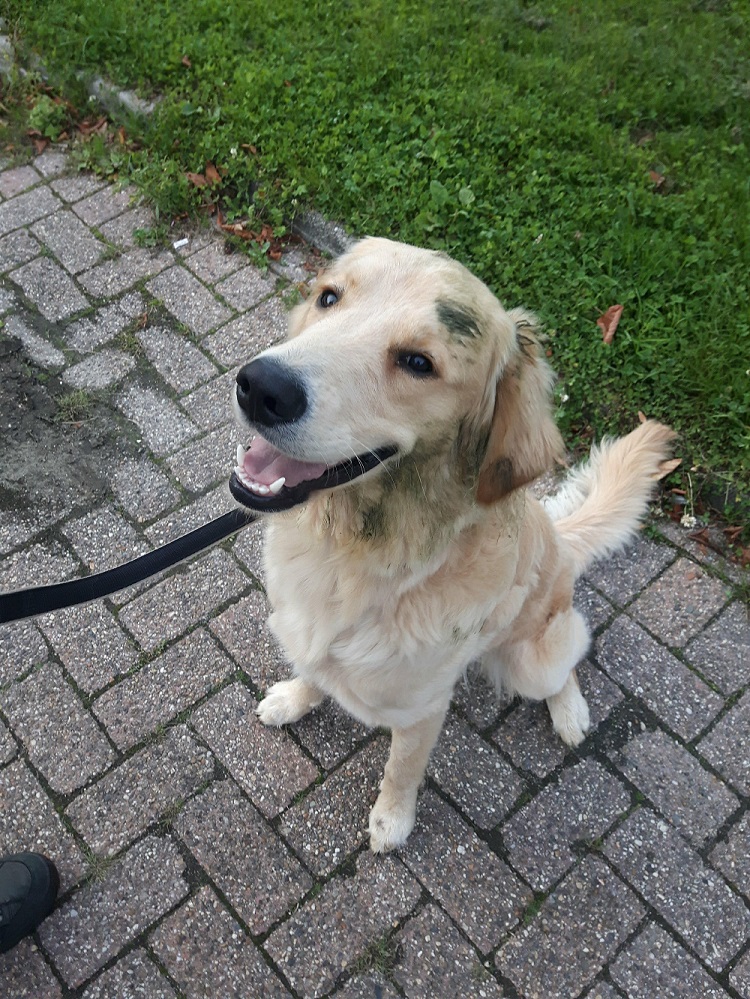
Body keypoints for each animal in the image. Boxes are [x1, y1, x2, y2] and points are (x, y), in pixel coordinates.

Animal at [229, 236, 676, 852]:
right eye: (329, 297)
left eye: (420, 363)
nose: (261, 387)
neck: (358, 551)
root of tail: (560, 541)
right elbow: (314, 672)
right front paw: (294, 700)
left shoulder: (423, 708)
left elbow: (402, 770)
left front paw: (392, 821)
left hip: (535, 656)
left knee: (569, 660)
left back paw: (571, 713)